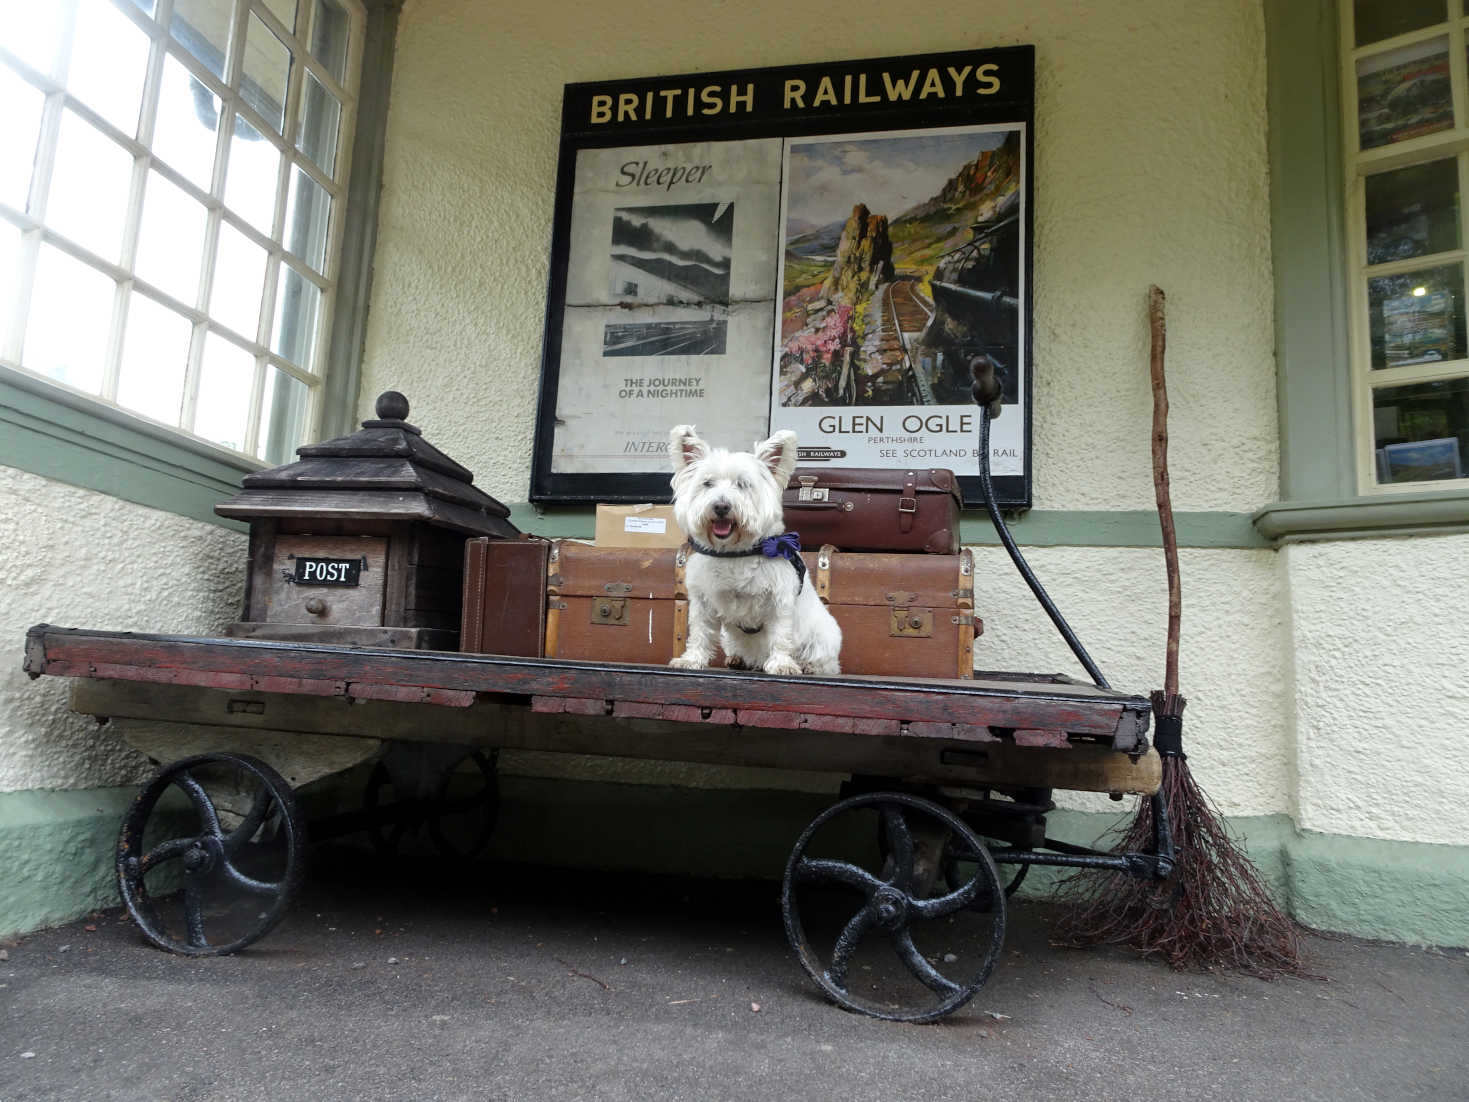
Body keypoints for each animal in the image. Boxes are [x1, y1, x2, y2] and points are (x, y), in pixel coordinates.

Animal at [663, 426, 840, 678]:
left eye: (742, 484)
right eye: (707, 483)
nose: (721, 506)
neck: (734, 552)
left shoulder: (780, 600)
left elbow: (780, 635)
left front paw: (782, 664)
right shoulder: (702, 601)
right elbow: (699, 632)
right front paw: (691, 660)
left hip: (823, 636)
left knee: (826, 662)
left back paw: (808, 666)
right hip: (728, 637)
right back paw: (737, 659)